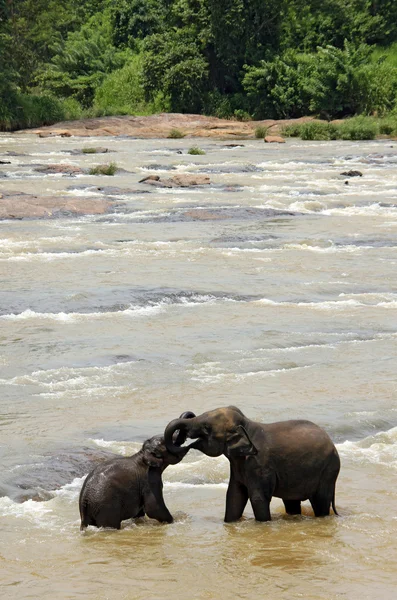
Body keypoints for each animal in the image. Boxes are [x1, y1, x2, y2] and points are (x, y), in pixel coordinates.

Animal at [162, 406, 338, 524]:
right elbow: (234, 495)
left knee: (321, 500)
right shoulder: (238, 464)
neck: (246, 425)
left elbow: (258, 498)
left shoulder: (260, 464)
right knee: (291, 502)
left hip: (328, 471)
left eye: (207, 428)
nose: (183, 442)